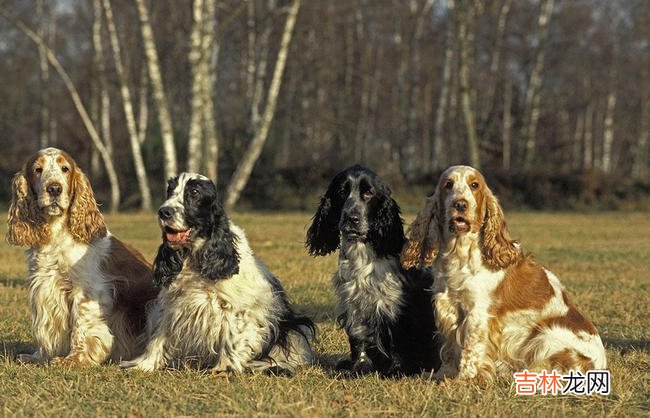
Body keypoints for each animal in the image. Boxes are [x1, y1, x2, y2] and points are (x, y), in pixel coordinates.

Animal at [7, 149, 157, 364]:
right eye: (37, 169)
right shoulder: (45, 286)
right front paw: (38, 357)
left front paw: (74, 359)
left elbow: (81, 326)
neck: (57, 235)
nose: (54, 188)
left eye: (65, 168)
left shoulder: (86, 290)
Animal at [123, 171, 316, 374]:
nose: (163, 211)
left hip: (296, 329)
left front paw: (224, 369)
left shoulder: (235, 308)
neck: (195, 258)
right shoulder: (171, 305)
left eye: (194, 192)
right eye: (170, 190)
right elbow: (158, 336)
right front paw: (143, 364)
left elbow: (232, 337)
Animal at [306, 164, 438, 376]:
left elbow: (398, 340)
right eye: (342, 192)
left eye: (368, 193)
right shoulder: (354, 304)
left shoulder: (396, 305)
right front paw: (359, 367)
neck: (362, 252)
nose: (352, 218)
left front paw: (398, 370)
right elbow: (359, 339)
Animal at [400, 165, 604, 380]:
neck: (460, 253)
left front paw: (464, 379)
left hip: (544, 337)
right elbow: (449, 348)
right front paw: (442, 375)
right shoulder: (449, 307)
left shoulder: (477, 313)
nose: (460, 204)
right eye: (448, 184)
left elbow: (470, 349)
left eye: (475, 185)